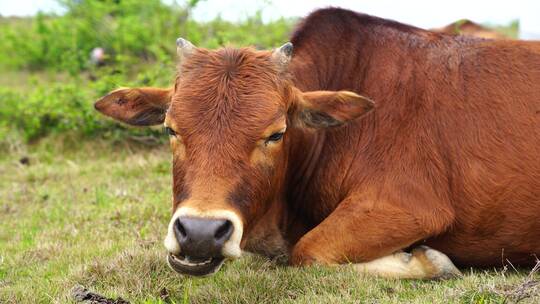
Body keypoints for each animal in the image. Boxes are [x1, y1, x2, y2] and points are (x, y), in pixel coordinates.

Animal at [94, 7, 540, 278]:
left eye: (276, 134)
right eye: (171, 129)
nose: (201, 233)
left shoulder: (411, 206)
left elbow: (308, 251)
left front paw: (430, 261)